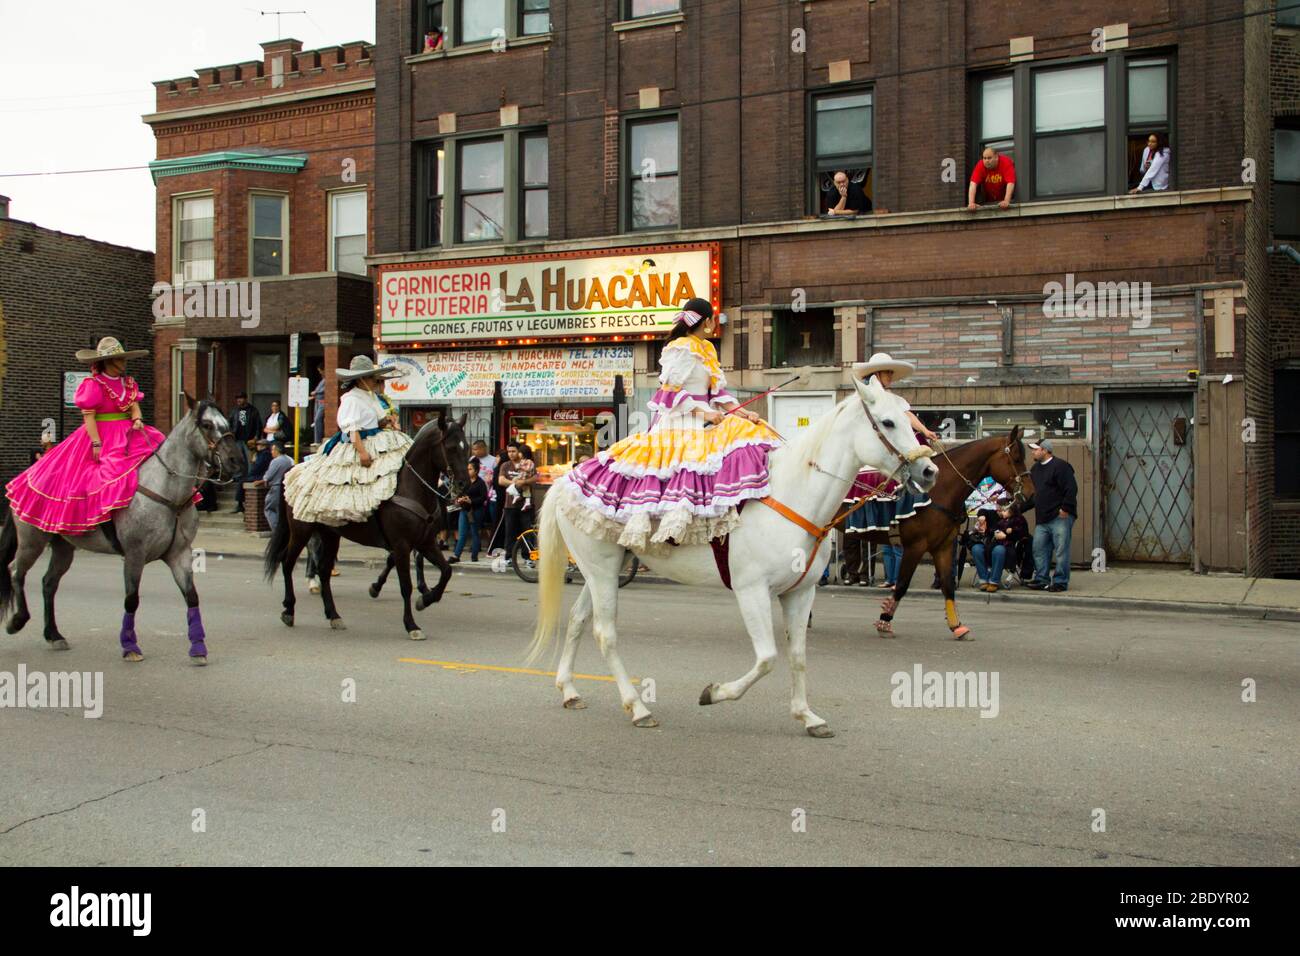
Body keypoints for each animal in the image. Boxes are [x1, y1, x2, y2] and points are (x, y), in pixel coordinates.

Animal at [0, 398, 244, 665]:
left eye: (227, 422)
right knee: (15, 571)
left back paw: (54, 635)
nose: (236, 461)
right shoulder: (134, 554)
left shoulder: (179, 554)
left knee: (48, 583)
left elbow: (191, 596)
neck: (167, 494)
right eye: (207, 424)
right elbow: (131, 599)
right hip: (32, 541)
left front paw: (198, 648)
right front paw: (130, 646)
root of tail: (25, 475)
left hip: (63, 546)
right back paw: (17, 621)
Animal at [261, 416, 470, 639]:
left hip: (330, 534)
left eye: (466, 447)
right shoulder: (402, 545)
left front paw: (426, 599)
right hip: (301, 531)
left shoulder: (425, 542)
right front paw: (411, 624)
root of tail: (293, 469)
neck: (409, 488)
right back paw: (289, 610)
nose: (464, 484)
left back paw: (333, 615)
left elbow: (446, 571)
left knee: (324, 571)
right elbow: (406, 586)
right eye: (450, 447)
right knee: (287, 563)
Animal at [527, 374, 935, 738]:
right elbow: (767, 658)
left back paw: (570, 690)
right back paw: (638, 708)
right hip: (601, 569)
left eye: (909, 416)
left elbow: (798, 656)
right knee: (605, 632)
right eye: (887, 422)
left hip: (604, 570)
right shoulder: (751, 590)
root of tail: (566, 480)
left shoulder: (800, 593)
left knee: (578, 620)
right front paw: (715, 693)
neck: (792, 494)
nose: (929, 469)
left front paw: (808, 717)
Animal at [863, 429, 1034, 642]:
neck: (939, 489)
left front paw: (957, 627)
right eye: (1017, 458)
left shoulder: (943, 546)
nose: (1031, 493)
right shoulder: (915, 546)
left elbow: (948, 584)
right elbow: (902, 585)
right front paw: (884, 622)